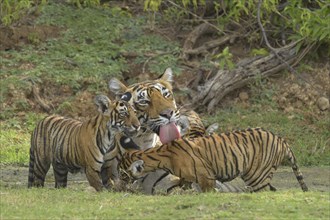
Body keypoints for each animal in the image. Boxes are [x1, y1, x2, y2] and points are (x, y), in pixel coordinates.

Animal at [121, 127, 310, 192]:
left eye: (123, 174)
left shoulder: (207, 177)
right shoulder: (186, 179)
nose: (118, 185)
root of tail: (281, 139)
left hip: (257, 176)